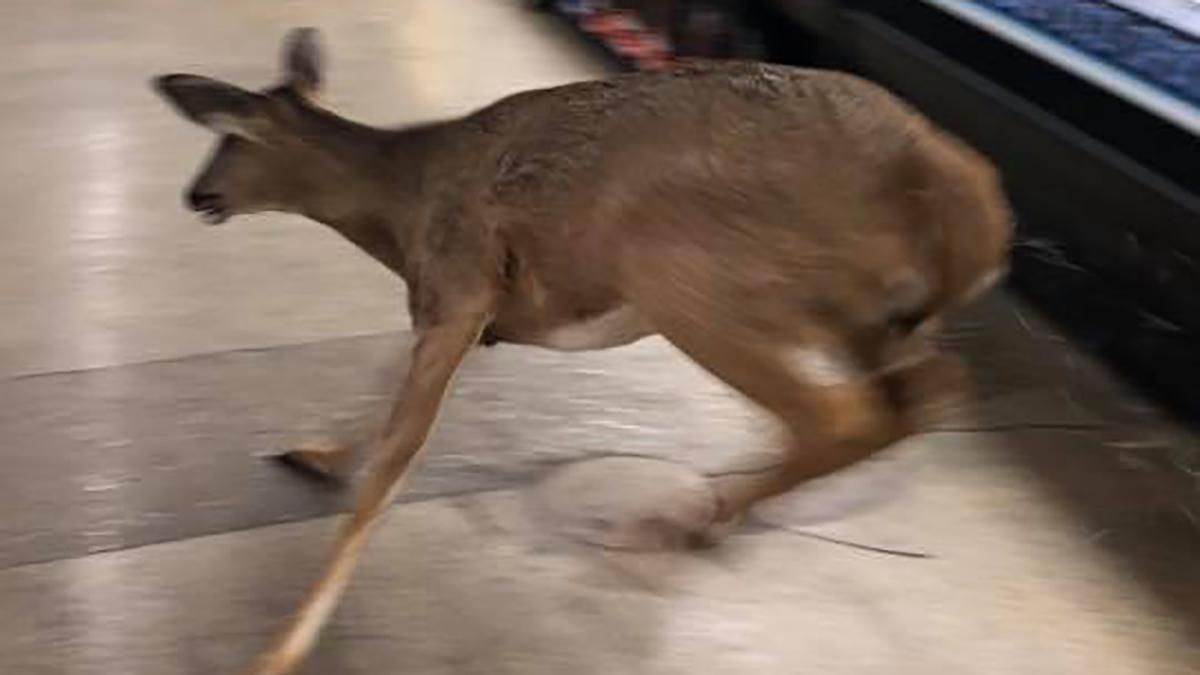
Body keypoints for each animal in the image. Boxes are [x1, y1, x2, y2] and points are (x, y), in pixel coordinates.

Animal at [152, 27, 1011, 675]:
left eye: (230, 137)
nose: (196, 195)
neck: (405, 206)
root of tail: (968, 200)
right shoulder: (469, 310)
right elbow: (386, 388)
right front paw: (319, 452)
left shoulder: (460, 281)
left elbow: (396, 459)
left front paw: (278, 650)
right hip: (867, 317)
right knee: (923, 392)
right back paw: (713, 513)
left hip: (690, 269)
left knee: (838, 412)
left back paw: (676, 520)